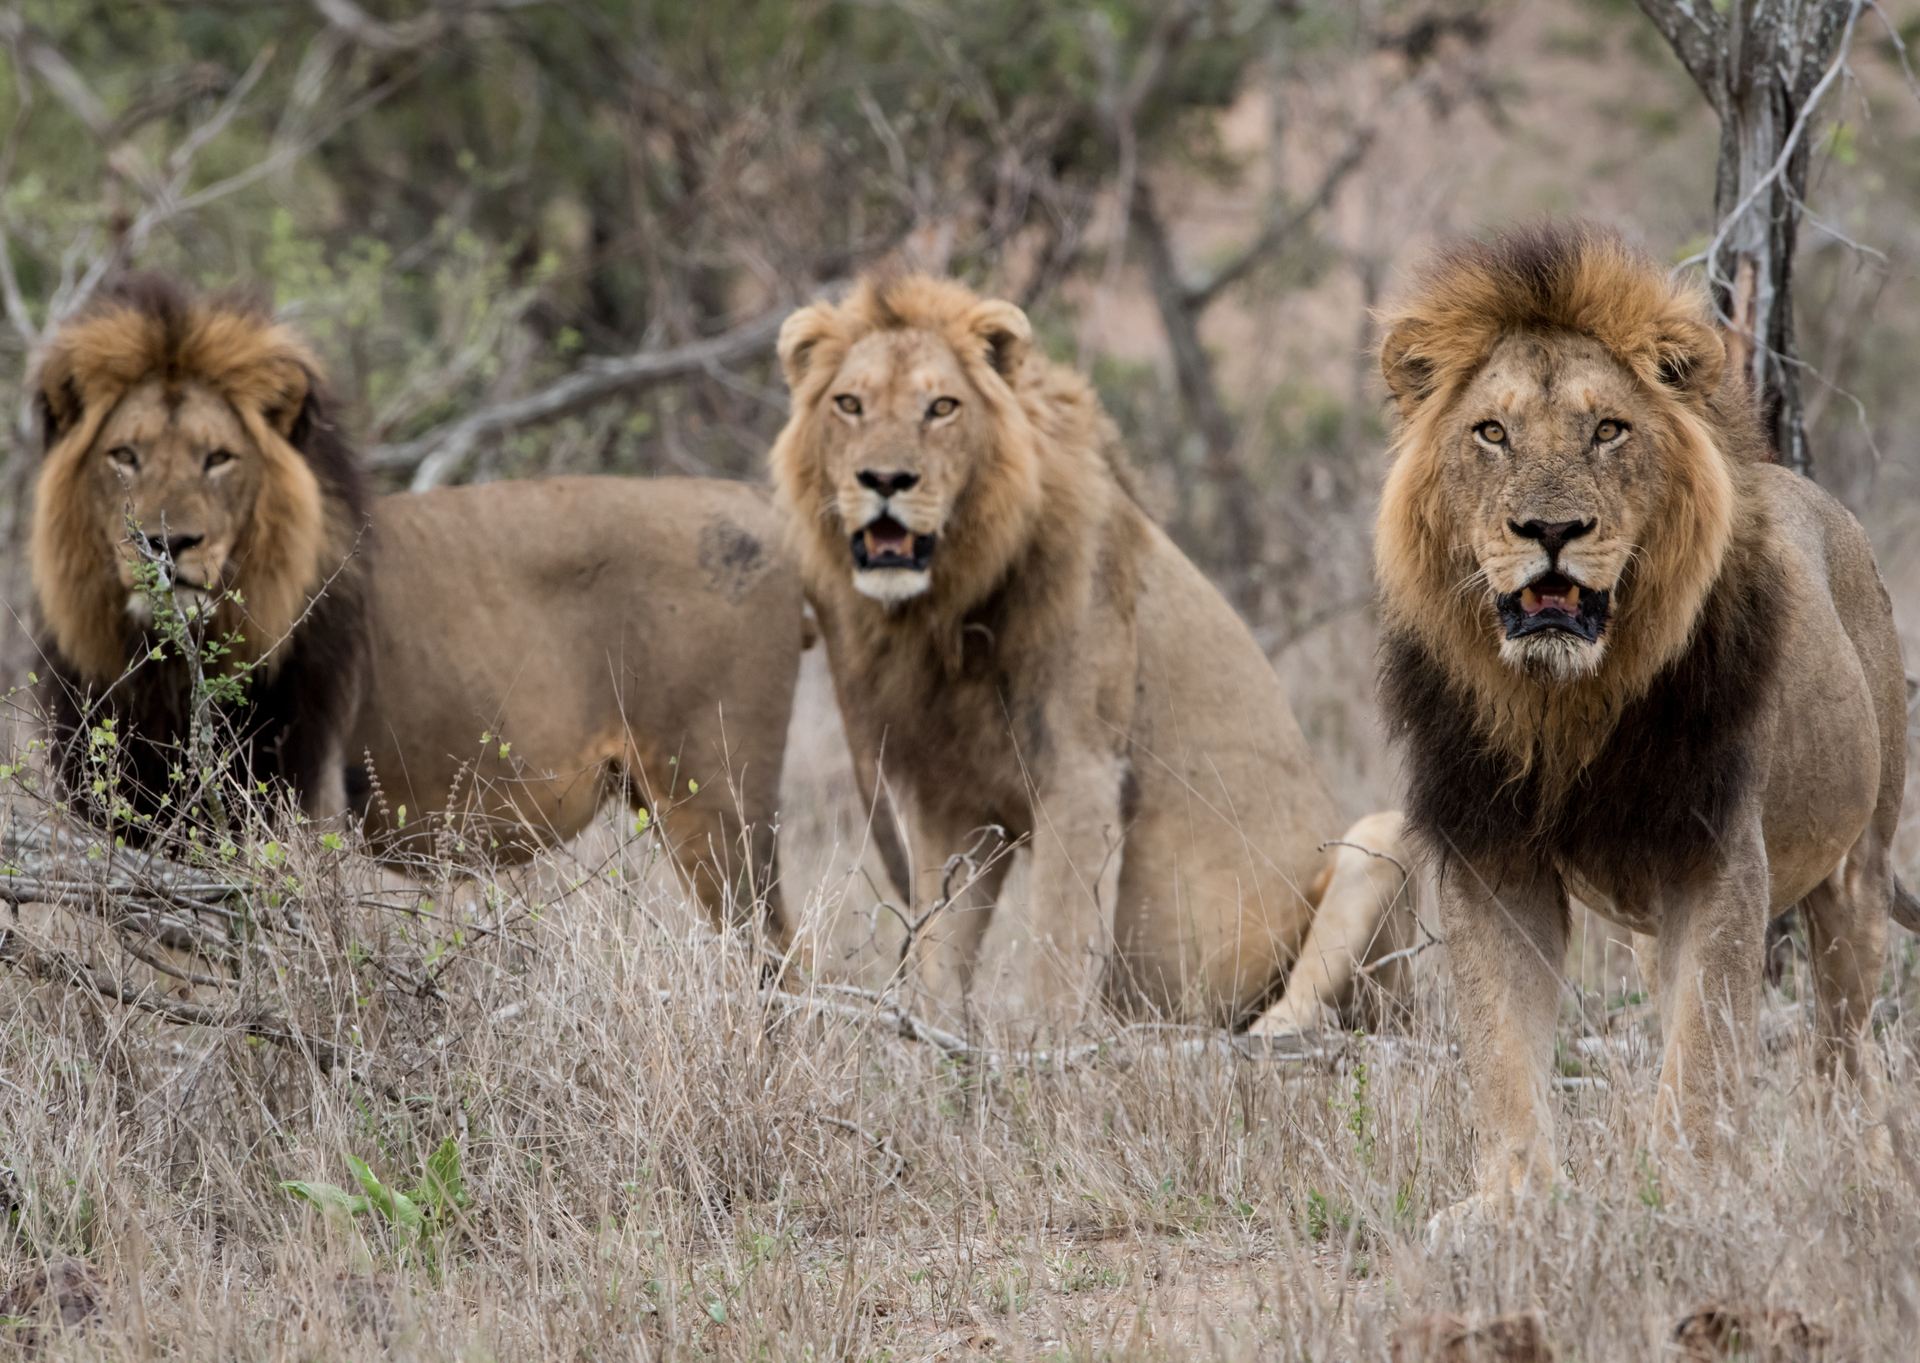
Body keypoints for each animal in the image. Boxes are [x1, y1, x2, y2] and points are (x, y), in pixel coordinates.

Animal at [771, 274, 1420, 1028]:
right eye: (850, 404)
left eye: (941, 407)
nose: (883, 481)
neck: (950, 604)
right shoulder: (951, 798)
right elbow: (939, 950)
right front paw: (934, 1042)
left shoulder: (1081, 773)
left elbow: (1056, 949)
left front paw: (1041, 1050)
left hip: (1381, 845)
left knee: (1301, 1010)